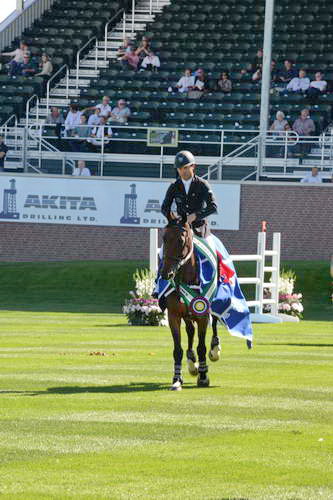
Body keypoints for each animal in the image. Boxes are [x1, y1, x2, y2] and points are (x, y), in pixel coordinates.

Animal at [160, 222, 220, 390]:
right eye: (164, 238)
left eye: (181, 241)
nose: (166, 273)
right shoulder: (173, 316)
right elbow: (177, 349)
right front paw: (176, 379)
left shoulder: (202, 315)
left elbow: (202, 347)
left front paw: (203, 376)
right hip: (186, 315)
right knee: (190, 330)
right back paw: (191, 361)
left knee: (214, 324)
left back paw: (214, 349)